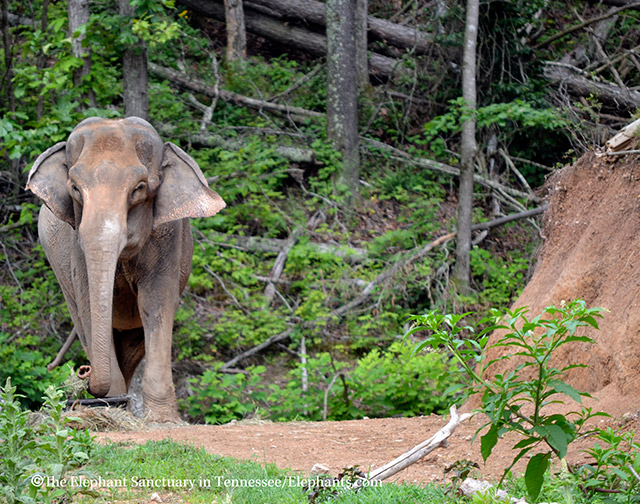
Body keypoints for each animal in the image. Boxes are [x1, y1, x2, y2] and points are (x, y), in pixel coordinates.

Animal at [26, 118, 226, 422]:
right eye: (75, 188)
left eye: (139, 188)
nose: (84, 371)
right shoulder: (75, 247)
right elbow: (89, 306)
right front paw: (111, 410)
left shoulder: (168, 235)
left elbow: (155, 303)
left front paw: (162, 420)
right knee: (82, 321)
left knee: (133, 344)